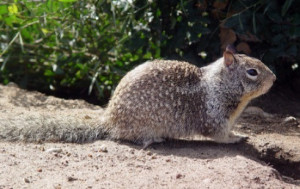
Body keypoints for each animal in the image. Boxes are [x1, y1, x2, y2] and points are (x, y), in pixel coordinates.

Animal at [0, 45, 276, 148]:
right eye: (252, 72)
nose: (274, 78)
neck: (219, 85)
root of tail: (109, 119)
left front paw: (239, 133)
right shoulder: (215, 117)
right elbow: (220, 136)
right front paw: (237, 138)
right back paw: (154, 139)